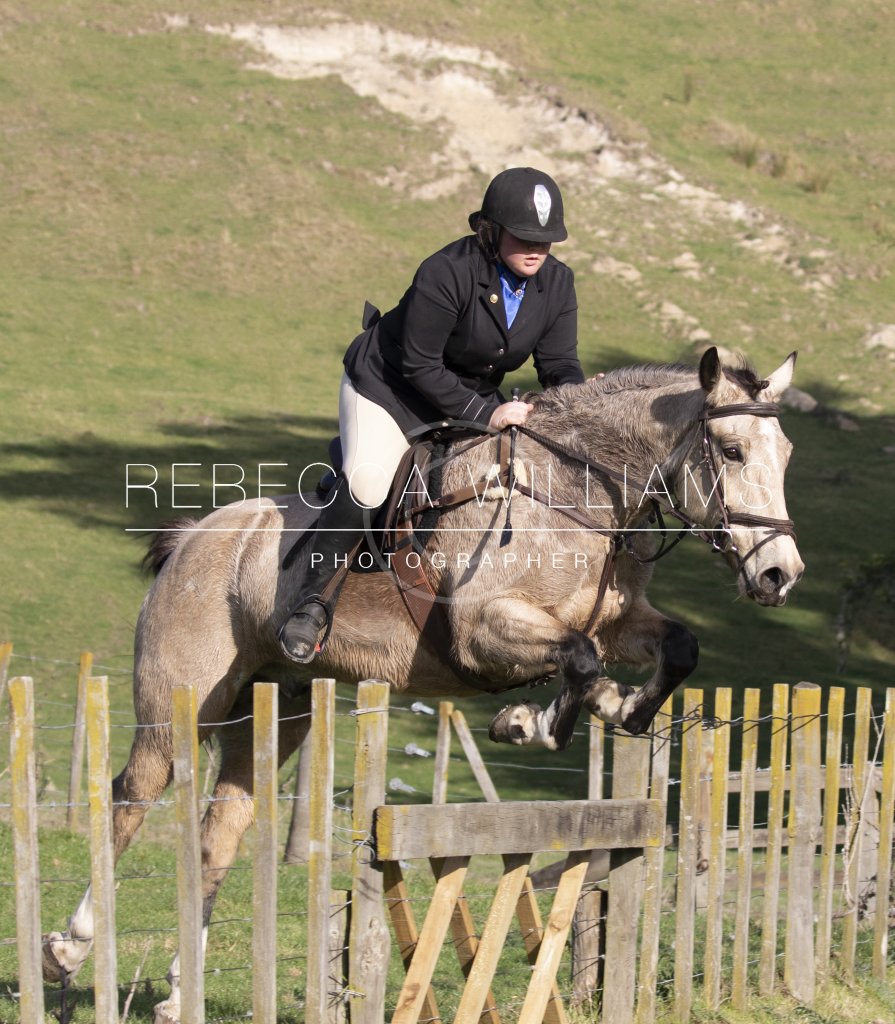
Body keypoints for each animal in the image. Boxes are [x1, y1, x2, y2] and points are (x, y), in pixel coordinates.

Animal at [42, 347, 804, 1021]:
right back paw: (69, 949)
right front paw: (531, 722)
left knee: (219, 830)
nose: (780, 574)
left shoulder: (618, 622)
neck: (573, 495)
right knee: (134, 795)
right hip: (182, 703)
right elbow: (580, 660)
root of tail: (195, 536)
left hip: (277, 705)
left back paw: (180, 993)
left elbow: (672, 648)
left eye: (786, 455)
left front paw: (617, 708)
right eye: (732, 451)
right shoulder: (483, 627)